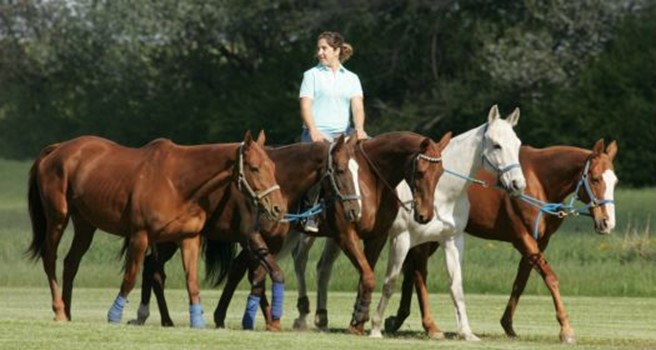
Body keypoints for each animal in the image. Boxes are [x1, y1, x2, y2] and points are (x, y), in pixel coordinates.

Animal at [26, 130, 284, 326]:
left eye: (273, 166)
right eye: (254, 168)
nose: (278, 208)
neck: (178, 183)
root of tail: (57, 149)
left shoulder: (189, 238)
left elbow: (192, 283)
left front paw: (197, 320)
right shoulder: (140, 236)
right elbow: (130, 277)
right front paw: (115, 315)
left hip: (85, 224)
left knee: (71, 263)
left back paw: (67, 311)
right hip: (58, 217)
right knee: (50, 259)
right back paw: (59, 309)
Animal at [382, 138, 616, 344]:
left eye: (615, 181)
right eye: (595, 179)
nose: (607, 223)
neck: (538, 179)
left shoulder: (538, 242)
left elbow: (520, 281)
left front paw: (508, 324)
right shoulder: (522, 238)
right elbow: (550, 278)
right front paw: (566, 329)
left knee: (410, 269)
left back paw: (398, 319)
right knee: (418, 271)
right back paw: (429, 326)